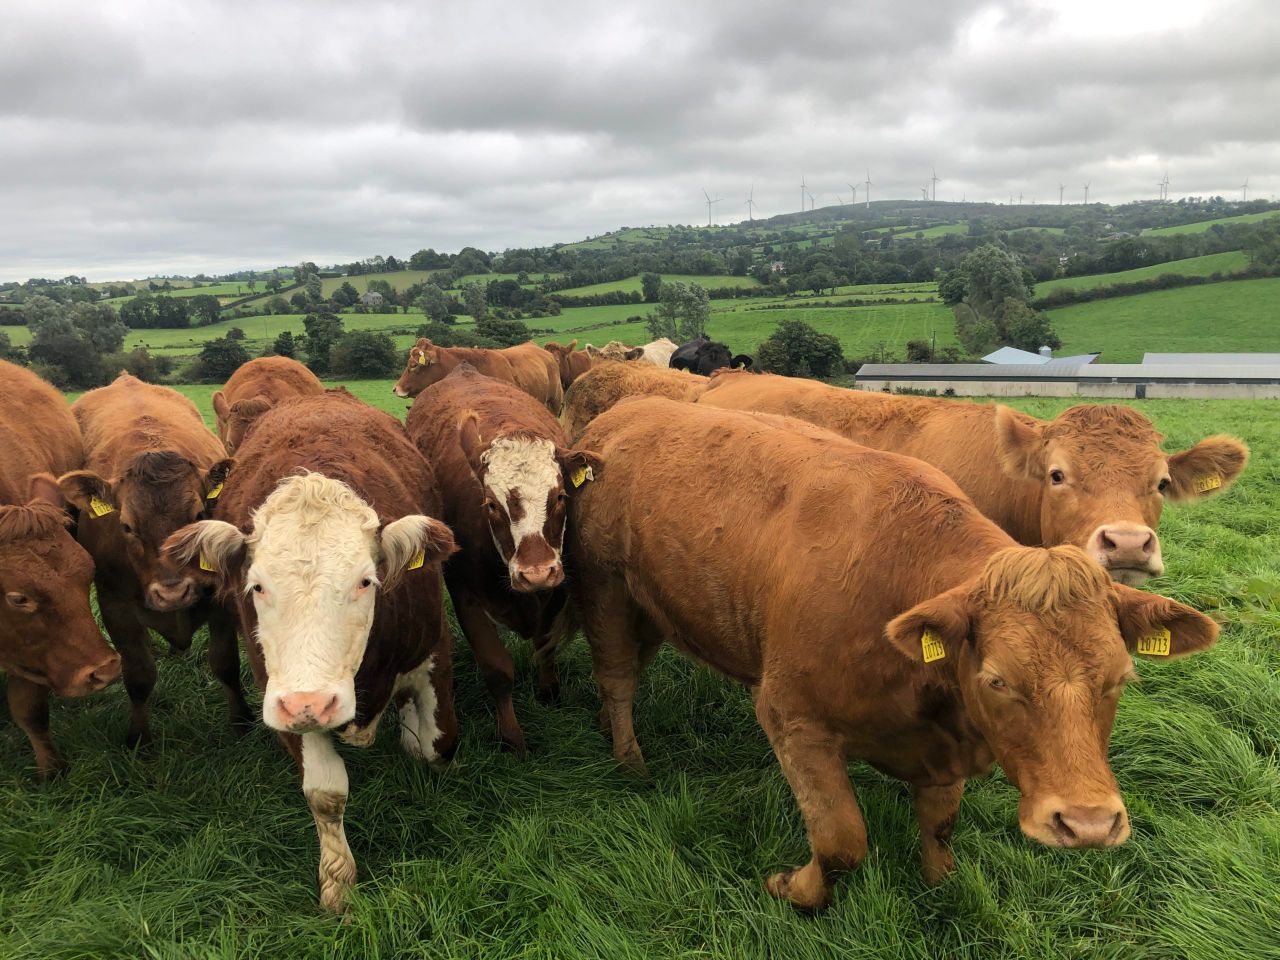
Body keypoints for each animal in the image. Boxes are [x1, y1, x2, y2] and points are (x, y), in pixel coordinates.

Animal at [0, 360, 120, 778]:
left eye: (87, 575)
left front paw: (51, 769)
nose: (104, 670)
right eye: (18, 598)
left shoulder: (32, 655)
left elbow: (30, 709)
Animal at [57, 373, 245, 748]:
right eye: (126, 526)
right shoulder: (114, 606)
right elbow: (139, 675)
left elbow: (226, 664)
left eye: (198, 514)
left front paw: (241, 722)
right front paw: (138, 738)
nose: (173, 593)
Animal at [163, 391, 459, 912]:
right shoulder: (278, 694)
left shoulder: (433, 651)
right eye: (257, 586)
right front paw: (338, 883)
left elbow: (437, 746)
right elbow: (325, 793)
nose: (312, 703)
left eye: (365, 581)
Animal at [406, 363, 602, 753]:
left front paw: (549, 690)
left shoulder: (558, 586)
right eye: (492, 505)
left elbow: (545, 644)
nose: (535, 573)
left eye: (560, 496)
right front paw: (511, 736)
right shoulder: (465, 595)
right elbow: (497, 669)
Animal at [567, 397, 1219, 910]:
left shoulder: (946, 748)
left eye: (1120, 678)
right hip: (604, 588)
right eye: (997, 680)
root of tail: (626, 409)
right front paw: (792, 887)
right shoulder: (792, 717)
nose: (1088, 824)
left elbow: (942, 825)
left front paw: (941, 885)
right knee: (617, 675)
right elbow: (841, 842)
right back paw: (628, 758)